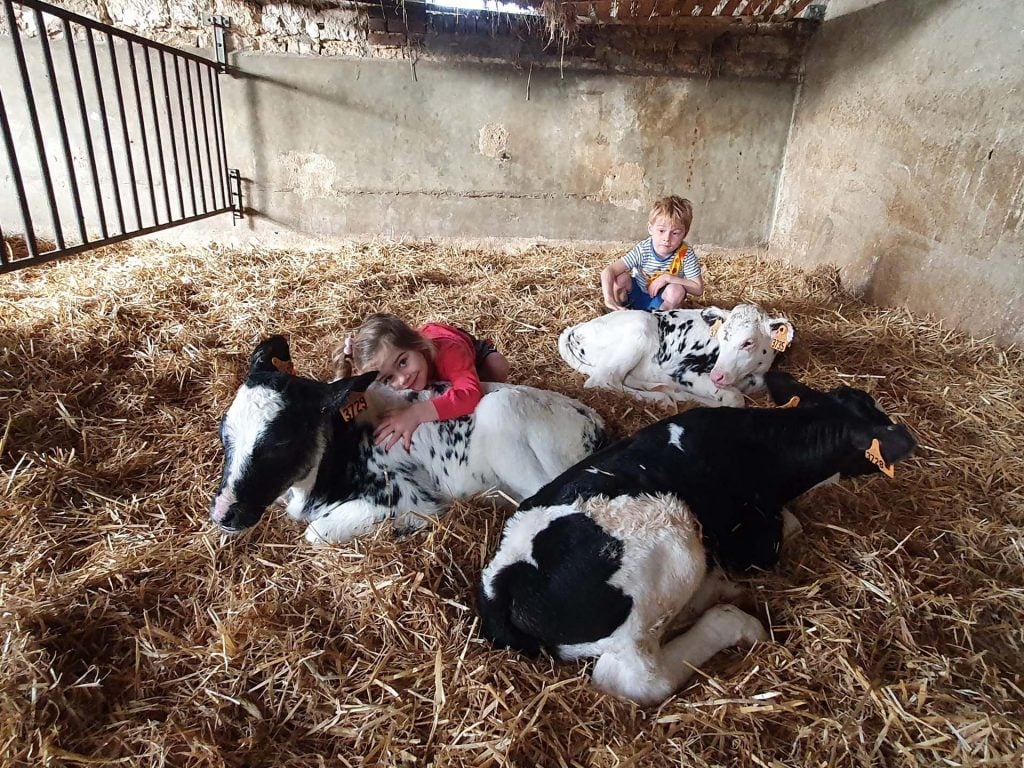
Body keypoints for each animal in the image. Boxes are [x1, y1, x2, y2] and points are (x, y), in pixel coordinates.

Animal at [210, 335, 602, 548]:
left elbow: (317, 533)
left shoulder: (403, 496)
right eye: (223, 432)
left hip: (503, 413)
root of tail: (593, 420)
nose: (223, 512)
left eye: (282, 441)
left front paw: (403, 527)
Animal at [479, 372, 921, 704]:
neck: (767, 444)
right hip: (675, 542)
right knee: (636, 677)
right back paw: (732, 618)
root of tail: (505, 583)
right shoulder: (754, 544)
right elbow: (788, 527)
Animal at [561, 303, 790, 409]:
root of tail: (576, 329)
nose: (718, 375)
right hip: (639, 328)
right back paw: (663, 398)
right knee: (602, 380)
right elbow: (734, 398)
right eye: (721, 338)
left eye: (748, 342)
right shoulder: (684, 371)